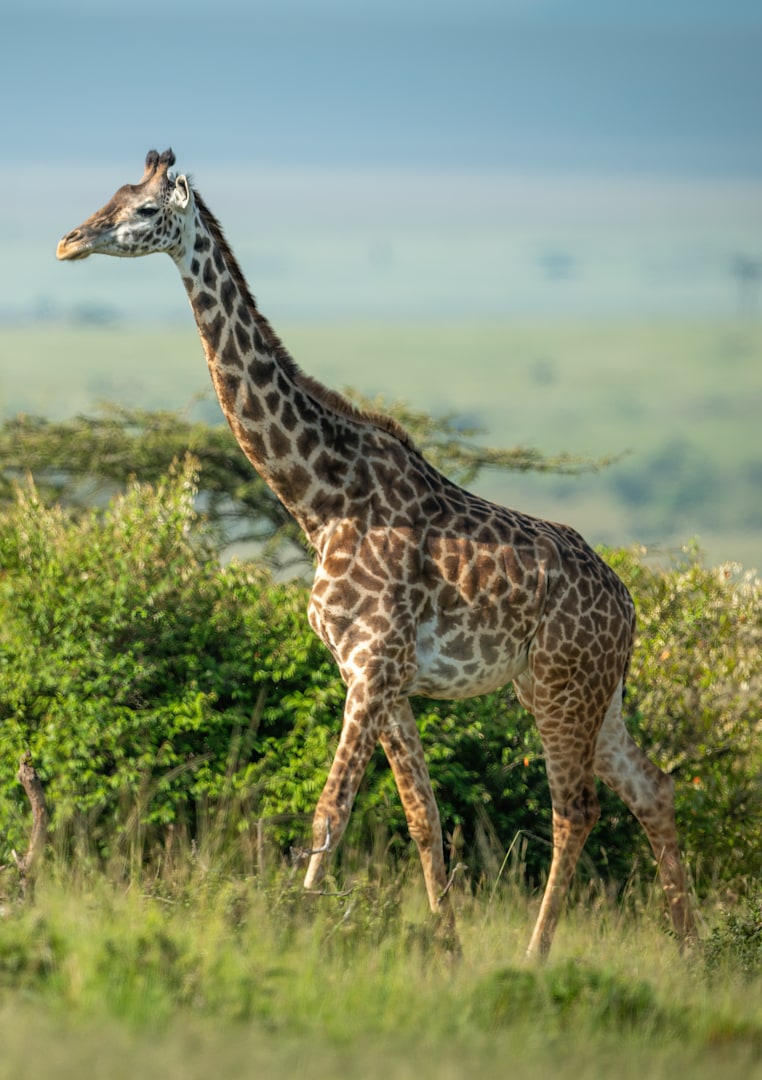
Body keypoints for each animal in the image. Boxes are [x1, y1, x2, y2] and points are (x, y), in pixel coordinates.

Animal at [56, 149, 696, 959]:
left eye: (142, 211)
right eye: (110, 195)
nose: (69, 241)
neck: (320, 497)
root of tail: (632, 605)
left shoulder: (370, 666)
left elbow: (330, 812)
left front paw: (293, 931)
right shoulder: (378, 676)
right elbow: (423, 816)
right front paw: (447, 951)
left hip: (562, 686)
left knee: (575, 808)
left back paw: (537, 957)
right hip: (587, 691)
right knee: (654, 788)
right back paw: (694, 955)